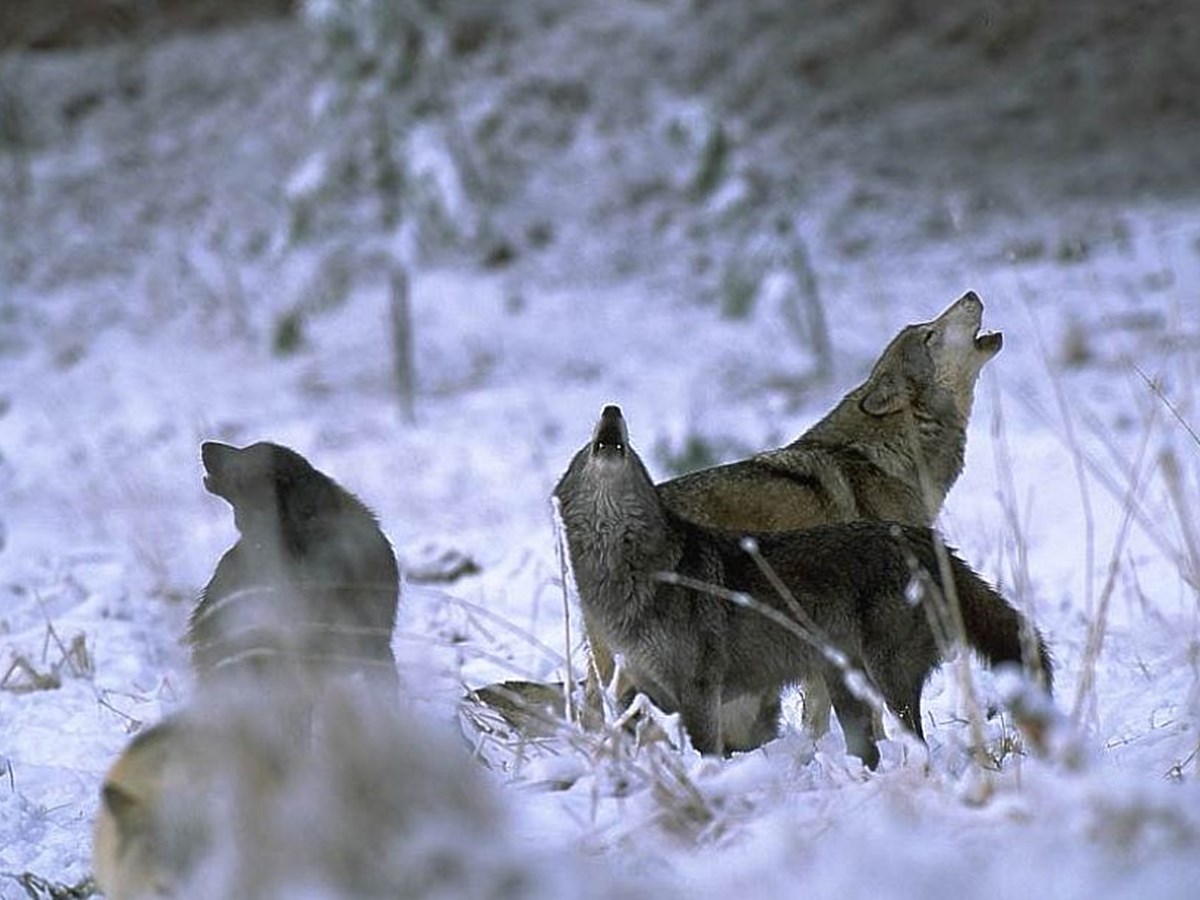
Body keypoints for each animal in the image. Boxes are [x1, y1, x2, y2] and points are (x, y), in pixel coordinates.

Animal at [552, 408, 1051, 768]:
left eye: (630, 447)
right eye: (585, 449)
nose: (611, 410)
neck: (634, 573)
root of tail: (923, 540)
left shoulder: (700, 691)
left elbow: (706, 752)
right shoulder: (638, 690)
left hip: (885, 679)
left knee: (914, 744)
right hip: (844, 684)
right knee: (867, 750)